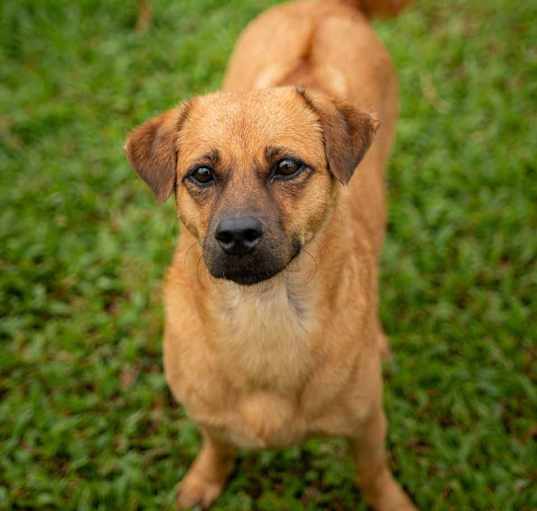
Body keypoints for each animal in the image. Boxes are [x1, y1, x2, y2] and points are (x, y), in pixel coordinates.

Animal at [124, 0, 414, 508]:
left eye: (286, 167)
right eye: (201, 174)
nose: (237, 235)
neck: (265, 314)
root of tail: (322, 7)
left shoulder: (366, 423)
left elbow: (373, 471)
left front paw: (390, 500)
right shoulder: (209, 417)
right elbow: (218, 446)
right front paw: (205, 480)